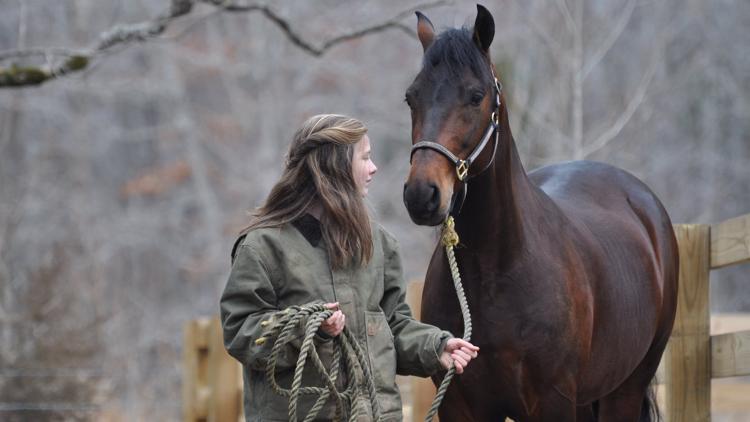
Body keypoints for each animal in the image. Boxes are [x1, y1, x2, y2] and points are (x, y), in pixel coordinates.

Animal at [406, 4, 680, 422]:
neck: (494, 273)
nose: (422, 194)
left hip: (625, 389)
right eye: (411, 98)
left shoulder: (553, 401)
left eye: (475, 96)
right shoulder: (459, 405)